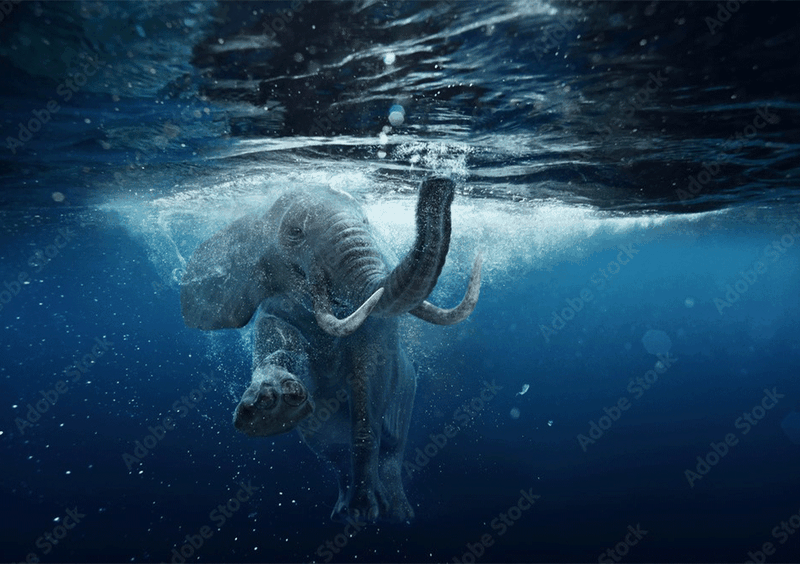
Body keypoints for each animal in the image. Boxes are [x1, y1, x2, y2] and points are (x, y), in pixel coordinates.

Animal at [179, 177, 481, 523]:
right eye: (295, 232)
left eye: (365, 222)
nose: (439, 184)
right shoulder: (275, 308)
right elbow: (274, 344)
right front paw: (270, 407)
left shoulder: (378, 339)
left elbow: (368, 395)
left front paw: (366, 511)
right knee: (334, 453)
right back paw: (343, 514)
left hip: (407, 394)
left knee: (392, 449)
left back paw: (395, 514)